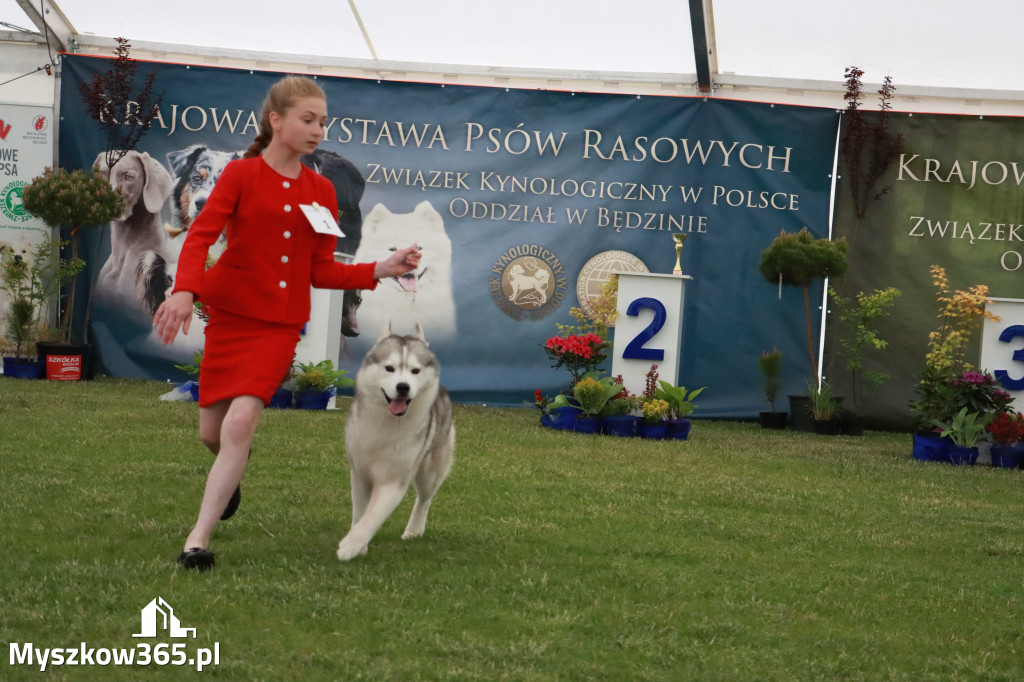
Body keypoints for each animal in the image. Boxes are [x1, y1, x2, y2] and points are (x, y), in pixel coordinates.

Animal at [337, 323, 454, 557]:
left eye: (415, 371)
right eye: (389, 368)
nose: (403, 387)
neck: (388, 424)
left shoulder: (393, 482)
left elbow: (373, 517)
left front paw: (350, 546)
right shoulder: (359, 473)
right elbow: (360, 512)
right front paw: (359, 545)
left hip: (430, 471)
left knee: (424, 499)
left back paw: (414, 529)